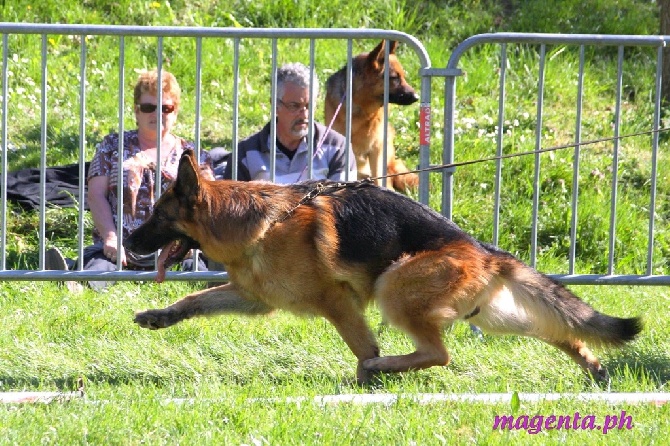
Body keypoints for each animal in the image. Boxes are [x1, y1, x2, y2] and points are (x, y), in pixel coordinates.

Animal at [126, 149, 644, 384]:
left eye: (156, 217)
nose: (128, 241)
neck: (263, 221)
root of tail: (484, 250)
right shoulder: (254, 298)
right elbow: (196, 298)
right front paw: (160, 315)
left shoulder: (337, 302)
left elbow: (361, 346)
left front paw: (366, 377)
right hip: (497, 317)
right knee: (560, 331)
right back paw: (594, 367)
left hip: (394, 285)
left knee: (438, 353)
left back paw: (386, 366)